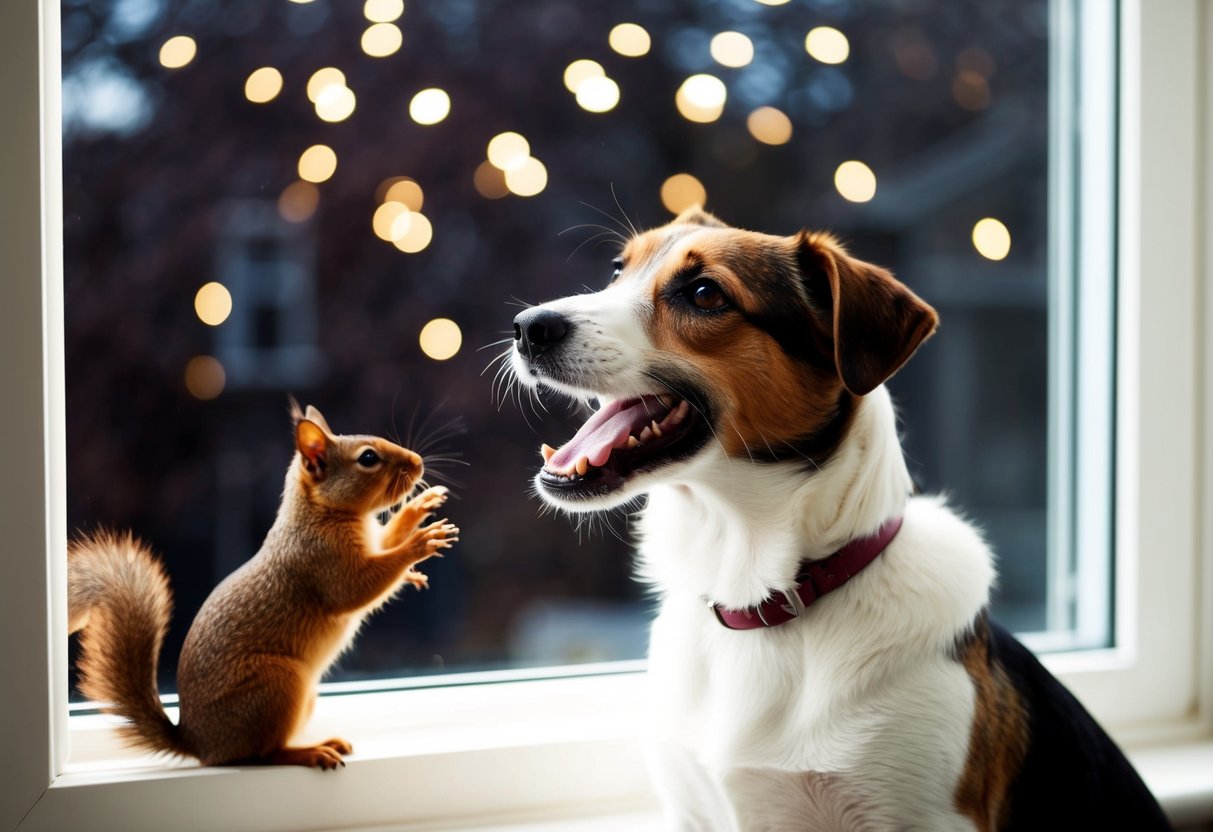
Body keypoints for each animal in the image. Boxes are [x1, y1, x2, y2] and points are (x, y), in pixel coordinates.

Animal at [68, 402, 458, 769]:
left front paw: (419, 509)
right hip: (276, 687)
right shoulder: (322, 564)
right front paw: (419, 543)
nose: (418, 462)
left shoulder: (372, 541)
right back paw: (310, 752)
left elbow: (388, 540)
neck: (322, 513)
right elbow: (360, 588)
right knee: (265, 754)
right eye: (368, 458)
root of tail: (201, 744)